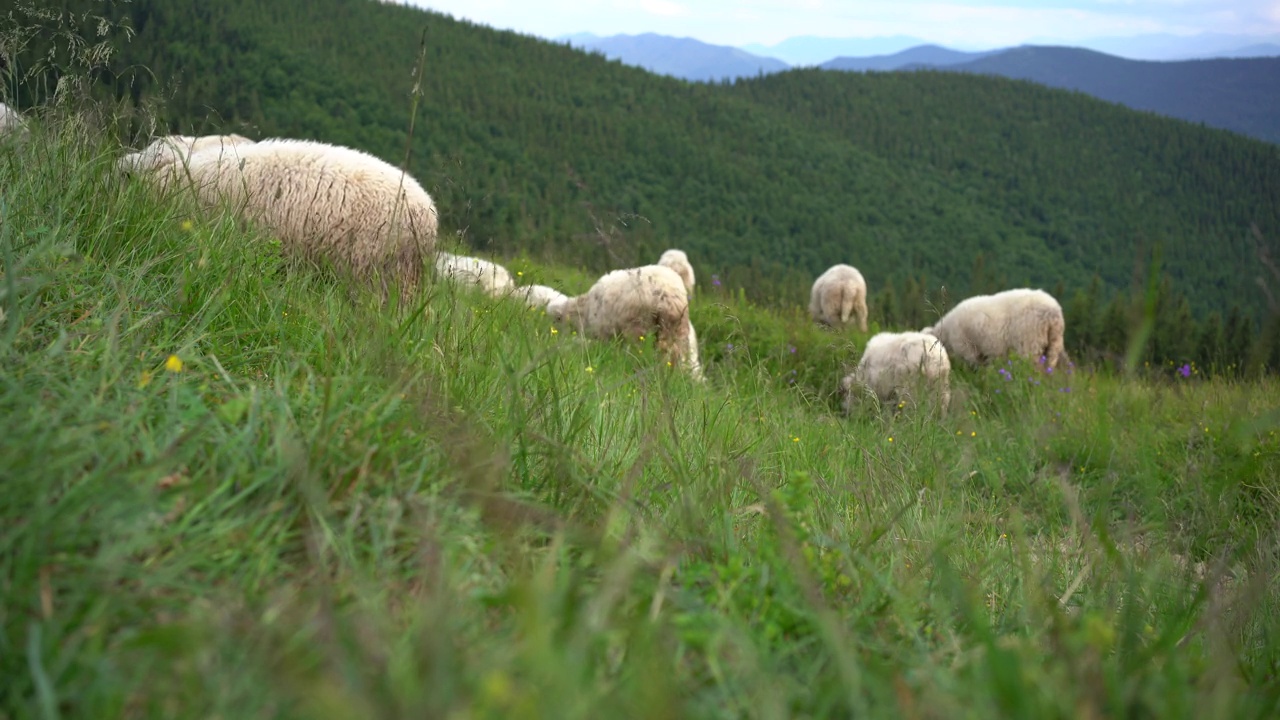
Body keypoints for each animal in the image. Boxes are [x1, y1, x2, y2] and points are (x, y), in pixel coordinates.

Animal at [545, 263, 696, 376]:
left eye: (556, 319)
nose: (549, 336)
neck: (584, 311)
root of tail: (666, 295)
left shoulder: (606, 333)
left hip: (639, 329)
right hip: (676, 331)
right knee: (674, 357)